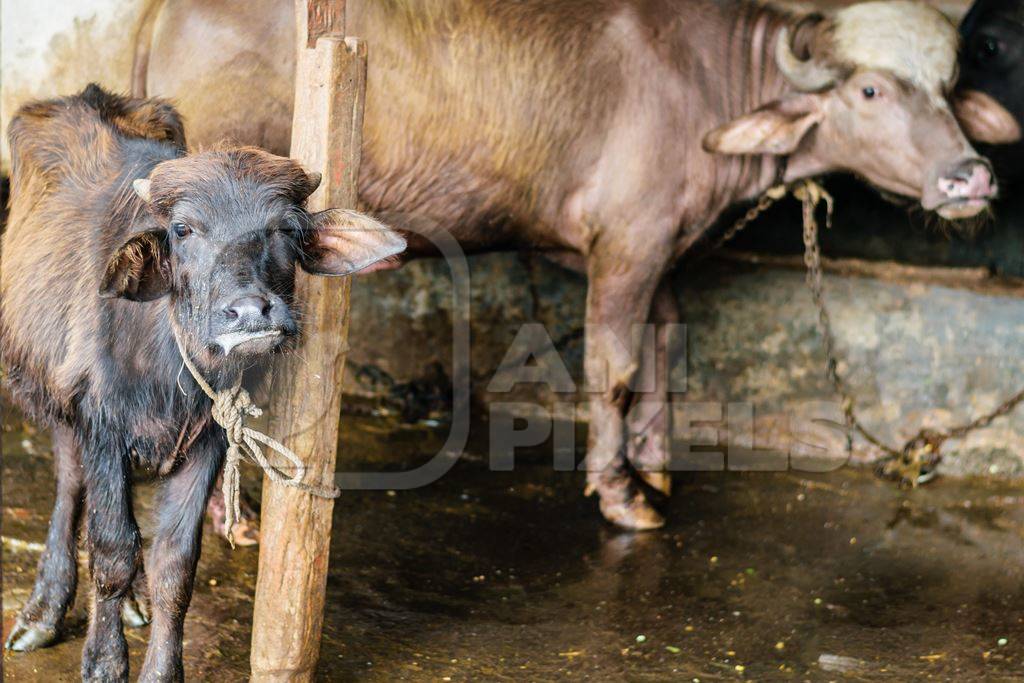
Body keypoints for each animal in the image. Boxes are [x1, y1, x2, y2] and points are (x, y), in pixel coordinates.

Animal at [1, 87, 407, 683]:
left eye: (286, 229)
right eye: (183, 230)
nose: (250, 312)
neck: (167, 362)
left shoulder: (208, 439)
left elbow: (175, 563)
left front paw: (160, 667)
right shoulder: (99, 423)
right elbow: (112, 548)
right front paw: (103, 661)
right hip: (53, 400)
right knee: (72, 488)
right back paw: (43, 612)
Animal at [136, 0, 999, 532]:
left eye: (949, 88)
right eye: (872, 89)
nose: (972, 177)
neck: (710, 82)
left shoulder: (662, 251)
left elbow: (666, 346)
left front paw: (657, 466)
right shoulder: (627, 244)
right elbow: (614, 366)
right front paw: (621, 494)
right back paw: (231, 514)